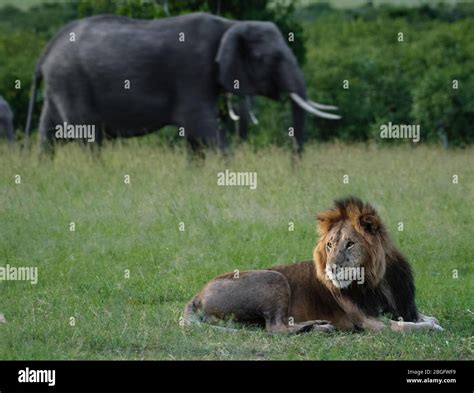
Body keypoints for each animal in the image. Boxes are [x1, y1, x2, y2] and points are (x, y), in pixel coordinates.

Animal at [24, 12, 338, 153]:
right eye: (270, 58)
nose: (295, 170)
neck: (229, 24)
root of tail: (46, 50)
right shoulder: (193, 73)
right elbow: (204, 127)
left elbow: (195, 136)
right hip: (72, 81)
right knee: (88, 134)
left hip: (59, 85)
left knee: (48, 132)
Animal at [183, 198, 442, 332]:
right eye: (329, 245)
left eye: (350, 244)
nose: (331, 268)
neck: (378, 281)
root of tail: (197, 294)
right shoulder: (372, 322)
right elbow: (407, 327)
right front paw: (431, 328)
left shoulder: (400, 307)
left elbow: (425, 318)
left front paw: (430, 321)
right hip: (274, 278)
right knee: (275, 329)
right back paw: (319, 326)